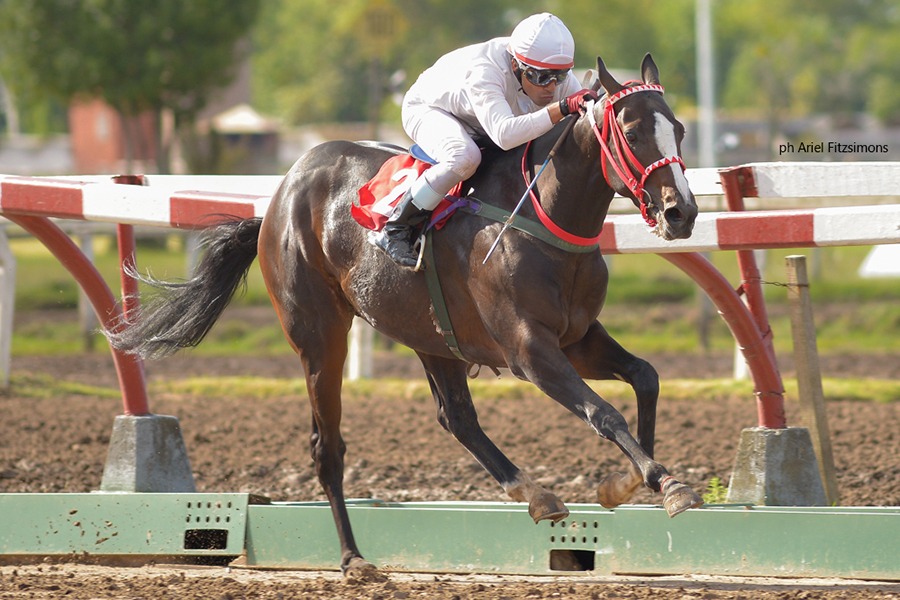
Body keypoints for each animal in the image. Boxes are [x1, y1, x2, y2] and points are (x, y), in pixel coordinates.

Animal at [107, 54, 701, 576]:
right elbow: (604, 413)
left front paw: (629, 484)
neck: (542, 214)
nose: (683, 213)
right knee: (329, 447)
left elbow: (645, 376)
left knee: (457, 417)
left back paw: (534, 494)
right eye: (633, 131)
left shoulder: (577, 337)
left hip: (431, 335)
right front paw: (666, 483)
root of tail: (278, 196)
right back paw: (354, 559)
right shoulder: (529, 348)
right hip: (321, 335)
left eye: (678, 129)